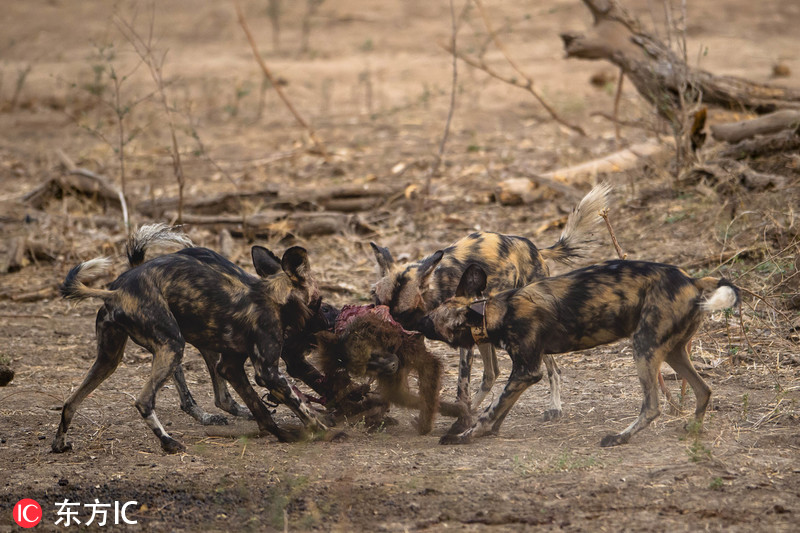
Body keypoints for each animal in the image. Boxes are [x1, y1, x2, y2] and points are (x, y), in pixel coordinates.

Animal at [53, 241, 330, 454]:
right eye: (320, 303)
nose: (326, 324)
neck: (275, 297)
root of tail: (116, 292)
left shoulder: (230, 366)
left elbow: (262, 410)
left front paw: (282, 434)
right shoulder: (268, 372)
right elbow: (300, 405)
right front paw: (325, 430)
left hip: (109, 359)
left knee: (70, 402)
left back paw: (59, 444)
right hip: (173, 346)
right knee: (144, 401)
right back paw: (168, 442)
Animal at [312, 306, 462, 434]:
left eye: (374, 355)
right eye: (370, 367)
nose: (391, 366)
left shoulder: (403, 345)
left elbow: (428, 365)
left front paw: (425, 424)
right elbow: (397, 394)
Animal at [372, 183, 608, 428]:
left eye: (402, 312)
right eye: (376, 301)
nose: (384, 328)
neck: (436, 287)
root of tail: (535, 249)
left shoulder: (462, 343)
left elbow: (462, 385)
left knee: (552, 368)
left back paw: (554, 406)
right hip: (483, 328)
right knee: (492, 372)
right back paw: (471, 410)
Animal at [422, 258, 740, 444]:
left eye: (432, 318)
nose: (416, 320)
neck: (495, 312)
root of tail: (692, 279)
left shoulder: (526, 372)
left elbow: (492, 408)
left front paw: (468, 434)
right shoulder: (524, 373)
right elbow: (500, 407)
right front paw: (489, 431)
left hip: (643, 348)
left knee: (652, 406)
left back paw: (620, 437)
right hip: (673, 352)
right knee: (704, 390)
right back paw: (693, 428)